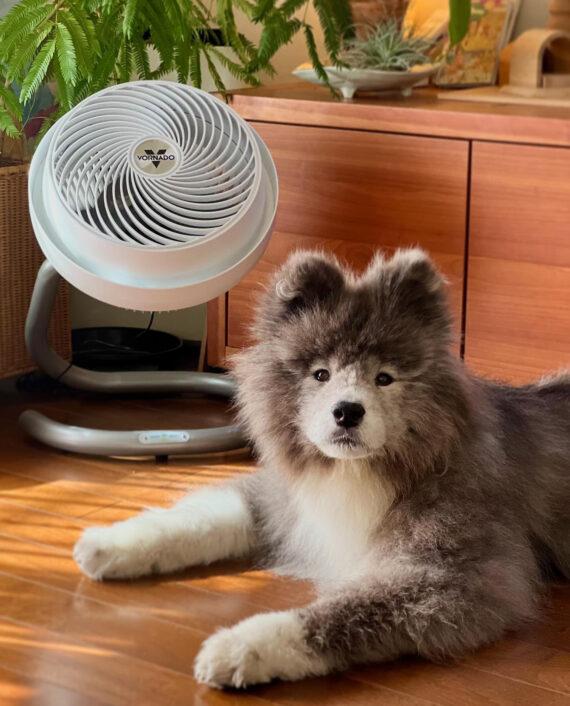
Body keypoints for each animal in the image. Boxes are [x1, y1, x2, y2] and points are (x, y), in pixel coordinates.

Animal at [73, 249, 568, 688]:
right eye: (321, 375)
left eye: (383, 378)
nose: (347, 412)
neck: (357, 471)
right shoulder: (283, 504)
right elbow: (201, 521)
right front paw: (107, 545)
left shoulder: (457, 574)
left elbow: (343, 611)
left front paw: (241, 647)